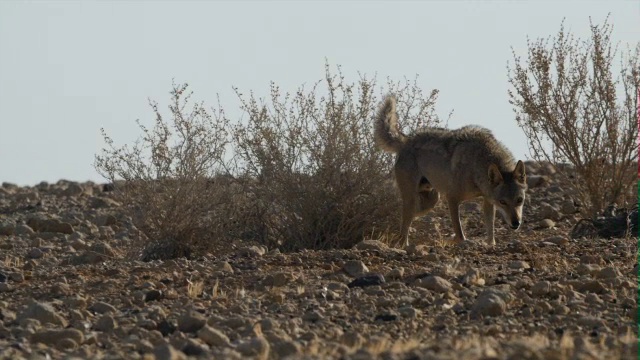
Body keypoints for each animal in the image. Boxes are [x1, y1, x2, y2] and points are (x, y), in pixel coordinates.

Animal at [372, 95, 528, 248]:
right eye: (503, 202)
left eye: (519, 200)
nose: (516, 223)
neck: (477, 164)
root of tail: (406, 140)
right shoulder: (452, 198)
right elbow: (460, 235)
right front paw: (451, 241)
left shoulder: (488, 200)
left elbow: (490, 231)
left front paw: (490, 244)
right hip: (416, 199)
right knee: (404, 228)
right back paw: (403, 244)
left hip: (432, 200)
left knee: (407, 219)